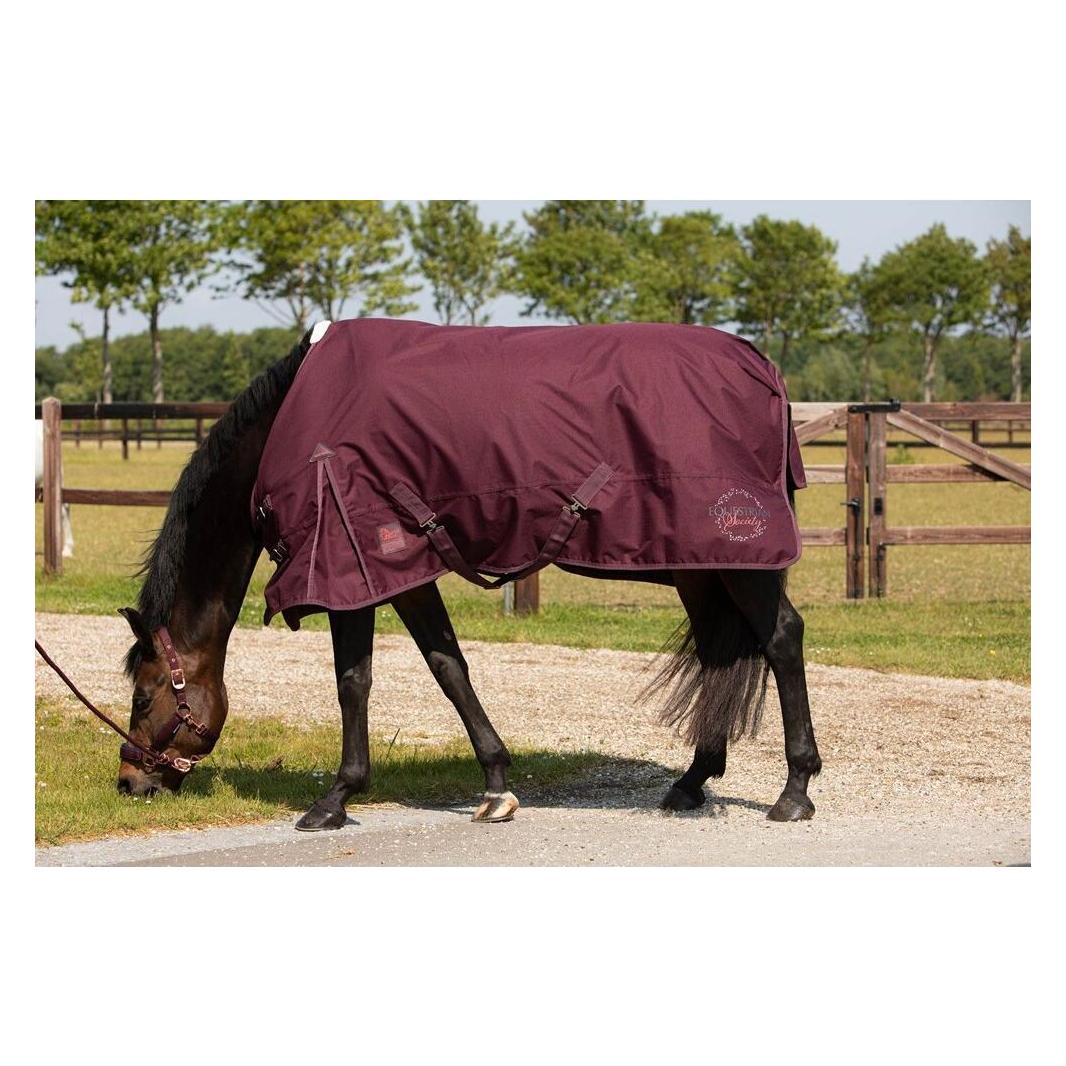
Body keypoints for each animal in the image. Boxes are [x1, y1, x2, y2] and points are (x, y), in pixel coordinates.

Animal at [116, 325, 821, 831]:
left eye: (144, 699)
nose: (129, 783)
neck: (293, 424)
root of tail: (763, 368)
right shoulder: (402, 570)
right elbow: (448, 666)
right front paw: (497, 785)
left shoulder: (349, 569)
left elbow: (353, 682)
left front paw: (336, 798)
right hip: (698, 567)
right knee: (718, 651)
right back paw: (692, 781)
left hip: (738, 558)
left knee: (783, 638)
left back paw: (794, 791)